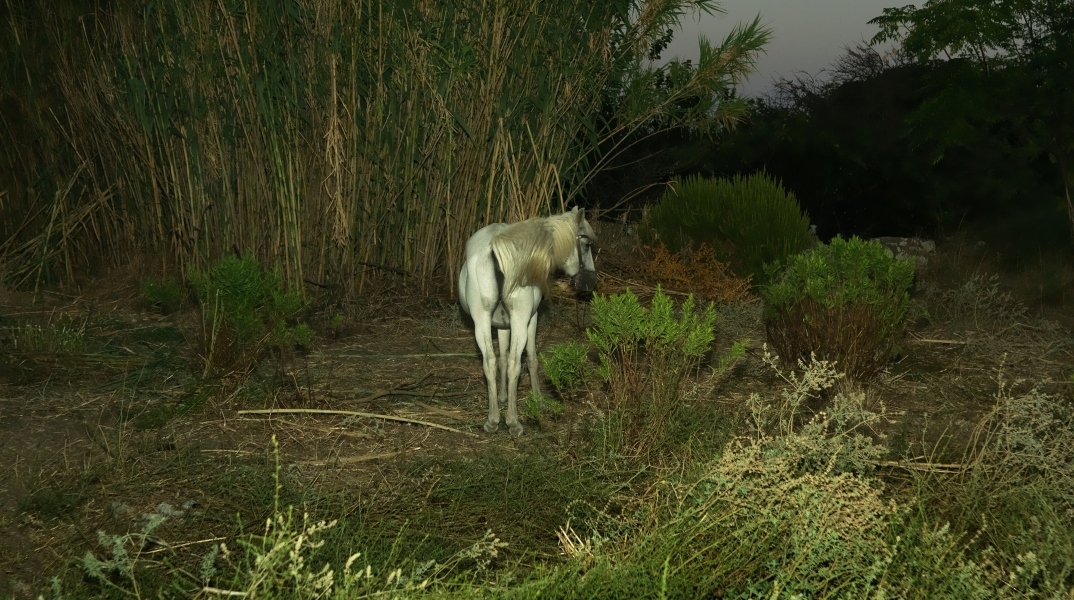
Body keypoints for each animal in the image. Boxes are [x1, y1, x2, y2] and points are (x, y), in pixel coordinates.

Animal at [459, 208, 601, 435]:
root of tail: (494, 251)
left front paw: (502, 396)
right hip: (520, 321)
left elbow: (502, 357)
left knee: (490, 361)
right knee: (516, 363)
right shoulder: (531, 318)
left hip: (482, 322)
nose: (590, 282)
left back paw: (493, 419)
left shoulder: (502, 324)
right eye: (587, 245)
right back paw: (513, 422)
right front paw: (539, 400)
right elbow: (531, 359)